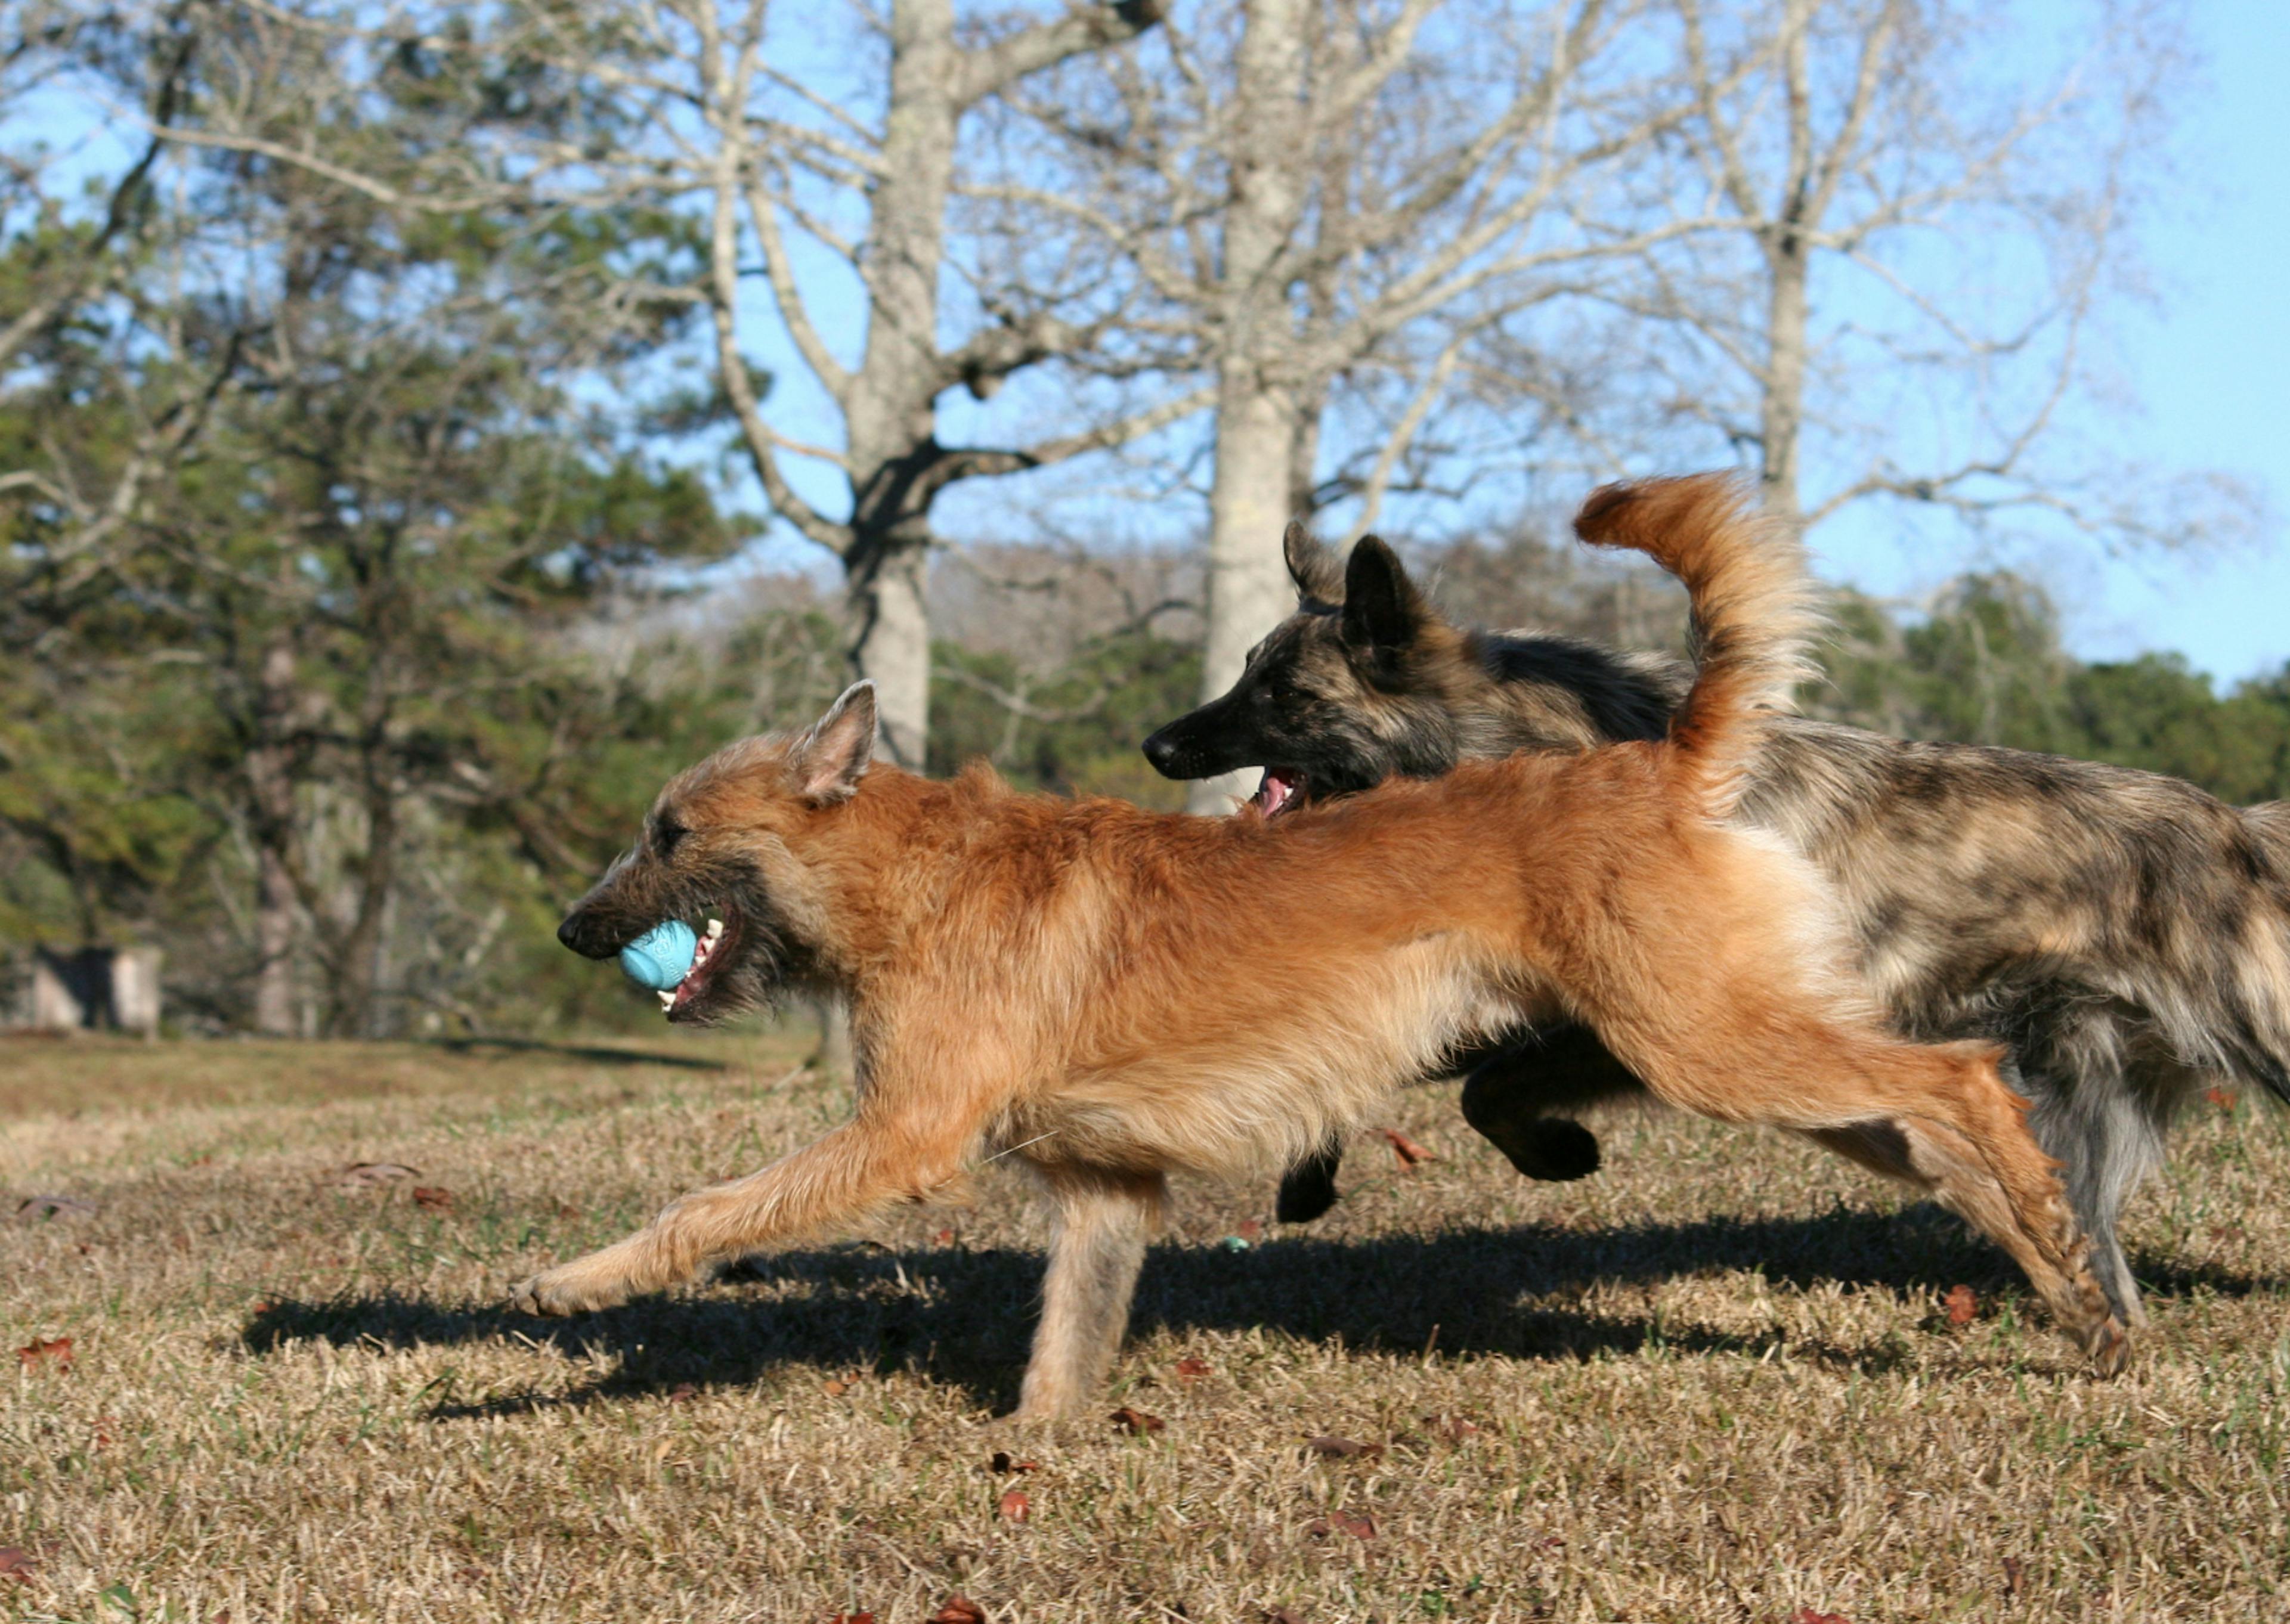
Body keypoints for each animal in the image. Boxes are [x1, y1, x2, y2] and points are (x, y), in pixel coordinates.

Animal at [524, 474, 2125, 1411]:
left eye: (668, 830)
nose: (572, 927)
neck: (916, 873)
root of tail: (1658, 760)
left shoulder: (900, 1135)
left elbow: (707, 1212)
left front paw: (573, 1289)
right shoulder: (1106, 1193)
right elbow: (1066, 1342)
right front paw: (1036, 1459)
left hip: (1713, 1046)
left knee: (1962, 1079)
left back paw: (2061, 1253)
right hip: (1749, 1054)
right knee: (1935, 1139)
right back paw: (2071, 1285)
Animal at [1154, 513, 2290, 1328]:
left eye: (1281, 692)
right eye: (1245, 667)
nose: (1158, 744)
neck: (1516, 748)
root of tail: (2236, 829)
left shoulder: (1623, 1022)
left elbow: (1482, 1086)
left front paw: (1551, 1152)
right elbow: (1429, 1070)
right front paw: (1316, 1171)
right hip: (2076, 1097)